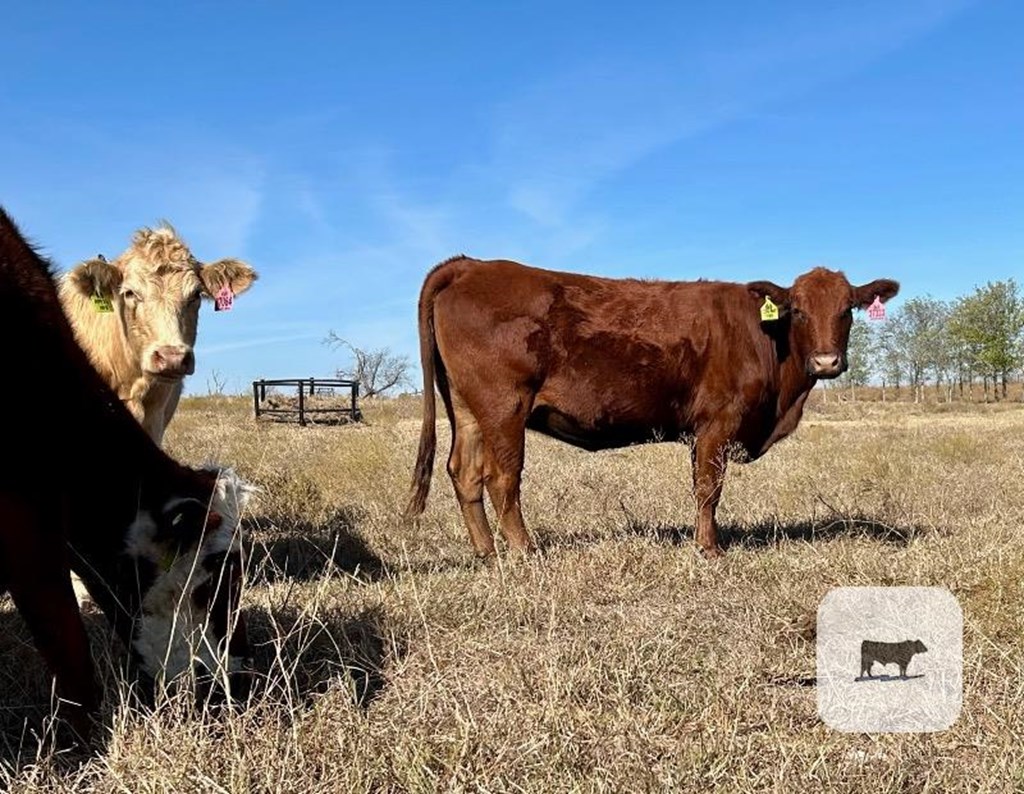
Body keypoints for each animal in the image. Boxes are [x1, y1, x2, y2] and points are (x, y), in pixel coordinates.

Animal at [403, 255, 901, 557]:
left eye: (847, 309)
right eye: (797, 310)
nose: (827, 361)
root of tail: (471, 265)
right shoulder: (718, 423)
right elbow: (709, 490)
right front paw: (709, 549)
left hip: (467, 410)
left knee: (465, 473)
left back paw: (487, 552)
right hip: (504, 408)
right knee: (502, 478)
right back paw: (526, 551)